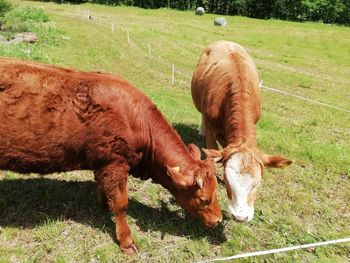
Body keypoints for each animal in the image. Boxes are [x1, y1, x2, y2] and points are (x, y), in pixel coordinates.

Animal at [0, 57, 223, 256]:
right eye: (204, 199)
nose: (219, 220)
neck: (137, 121)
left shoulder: (103, 164)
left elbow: (104, 189)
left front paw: (103, 207)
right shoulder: (115, 163)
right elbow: (121, 204)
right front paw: (126, 242)